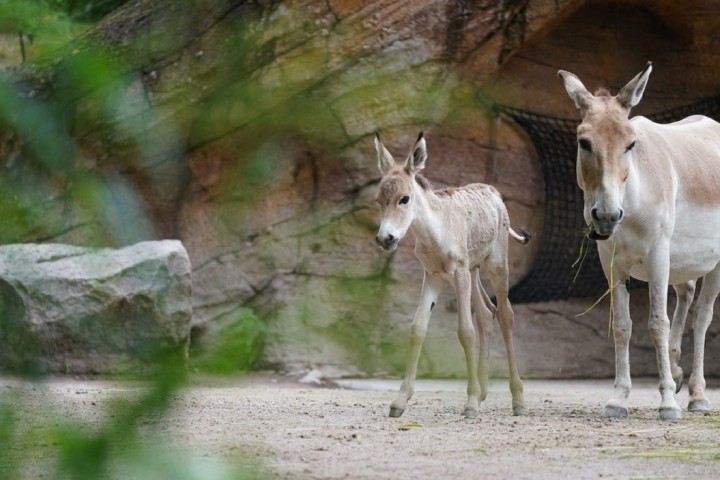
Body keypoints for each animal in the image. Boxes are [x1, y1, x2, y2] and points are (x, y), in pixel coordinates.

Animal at [372, 131, 528, 416]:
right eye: (379, 200)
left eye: (404, 198)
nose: (385, 239)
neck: (436, 230)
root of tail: (493, 191)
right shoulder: (433, 276)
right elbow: (417, 329)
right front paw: (400, 401)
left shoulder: (458, 273)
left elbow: (466, 331)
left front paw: (470, 403)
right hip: (473, 271)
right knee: (487, 313)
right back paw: (484, 392)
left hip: (495, 265)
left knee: (505, 315)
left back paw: (518, 400)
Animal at [560, 63, 720, 420]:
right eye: (583, 142)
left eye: (631, 144)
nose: (606, 216)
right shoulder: (611, 261)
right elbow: (622, 325)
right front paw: (618, 399)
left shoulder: (658, 255)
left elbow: (656, 322)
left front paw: (667, 404)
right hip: (683, 261)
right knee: (687, 296)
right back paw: (677, 372)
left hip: (713, 264)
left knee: (702, 316)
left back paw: (697, 395)